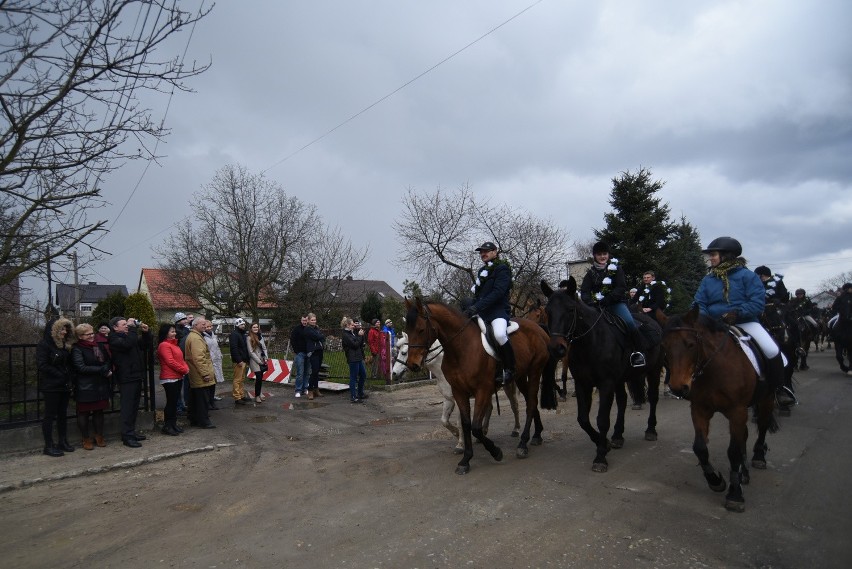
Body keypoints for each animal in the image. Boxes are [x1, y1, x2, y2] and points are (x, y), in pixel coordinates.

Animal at [404, 296, 560, 472]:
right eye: (407, 331)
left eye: (421, 329)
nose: (412, 365)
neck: (461, 347)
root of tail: (538, 328)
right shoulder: (459, 392)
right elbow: (466, 424)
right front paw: (465, 459)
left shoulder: (482, 390)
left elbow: (476, 427)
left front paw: (496, 452)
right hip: (520, 376)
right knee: (530, 402)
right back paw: (537, 435)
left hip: (534, 371)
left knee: (531, 403)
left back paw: (522, 444)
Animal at [660, 308, 780, 512]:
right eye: (665, 346)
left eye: (690, 344)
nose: (677, 388)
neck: (714, 368)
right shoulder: (700, 409)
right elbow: (700, 447)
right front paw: (715, 481)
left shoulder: (737, 410)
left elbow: (733, 451)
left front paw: (735, 494)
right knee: (744, 435)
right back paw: (743, 472)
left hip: (766, 398)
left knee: (762, 426)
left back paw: (758, 458)